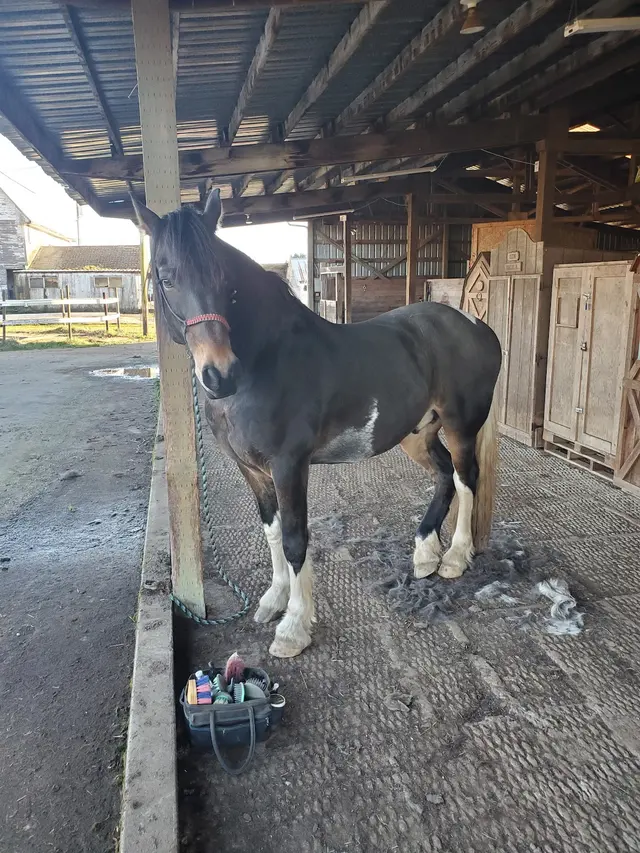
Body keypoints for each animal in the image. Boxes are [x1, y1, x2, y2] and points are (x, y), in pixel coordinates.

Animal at [133, 189, 502, 660]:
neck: (266, 360)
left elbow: (295, 538)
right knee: (443, 475)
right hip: (418, 433)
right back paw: (424, 554)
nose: (219, 375)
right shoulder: (252, 469)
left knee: (465, 477)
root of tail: (478, 327)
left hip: (460, 425)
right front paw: (273, 600)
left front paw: (293, 627)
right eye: (165, 278)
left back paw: (455, 557)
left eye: (226, 284)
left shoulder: (290, 465)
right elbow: (272, 531)